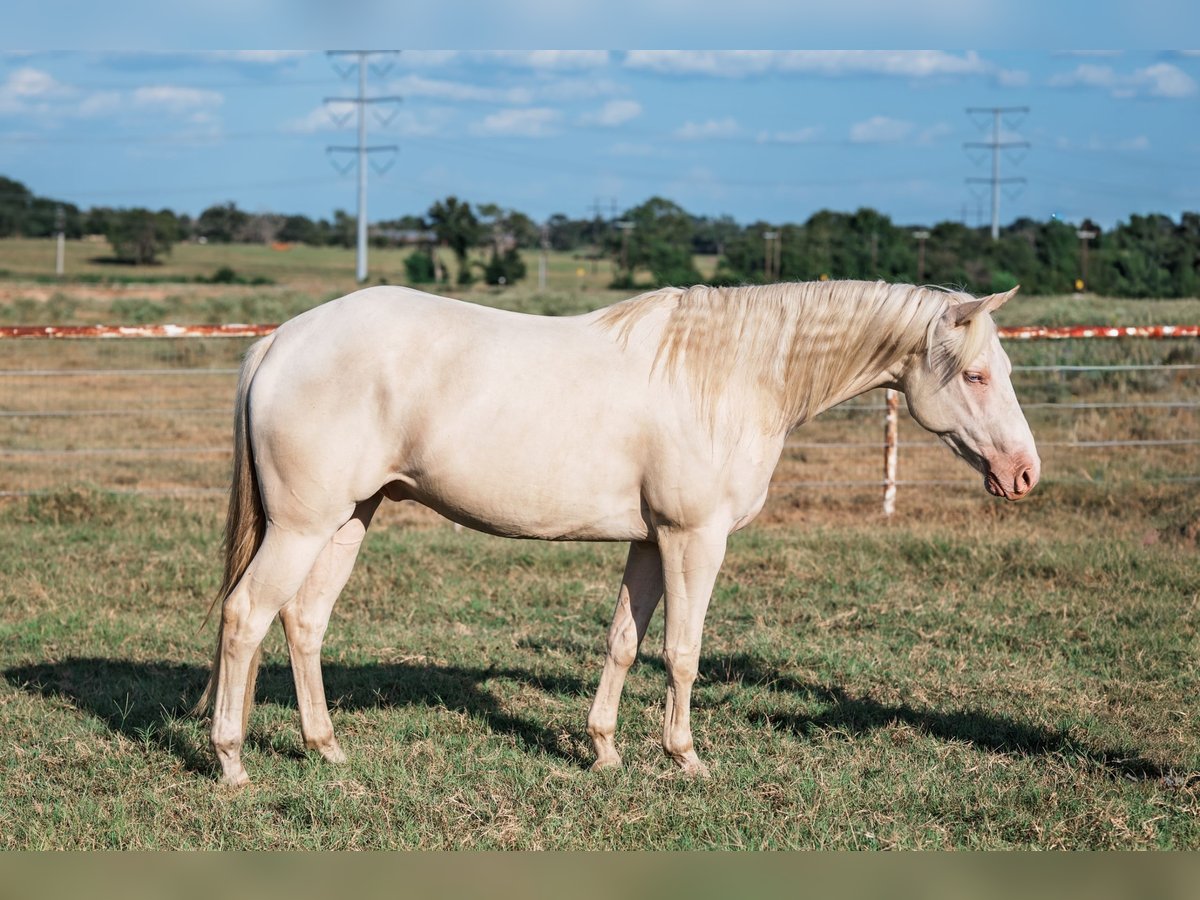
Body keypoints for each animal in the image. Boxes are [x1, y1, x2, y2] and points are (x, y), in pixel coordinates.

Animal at [193, 279, 1040, 787]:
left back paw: (326, 747)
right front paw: (685, 757)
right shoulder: (695, 538)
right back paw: (232, 764)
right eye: (975, 375)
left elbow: (625, 643)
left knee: (303, 621)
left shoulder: (649, 540)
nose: (1025, 473)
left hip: (349, 518)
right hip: (302, 526)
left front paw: (602, 750)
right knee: (246, 616)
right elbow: (683, 651)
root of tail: (280, 341)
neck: (730, 376)